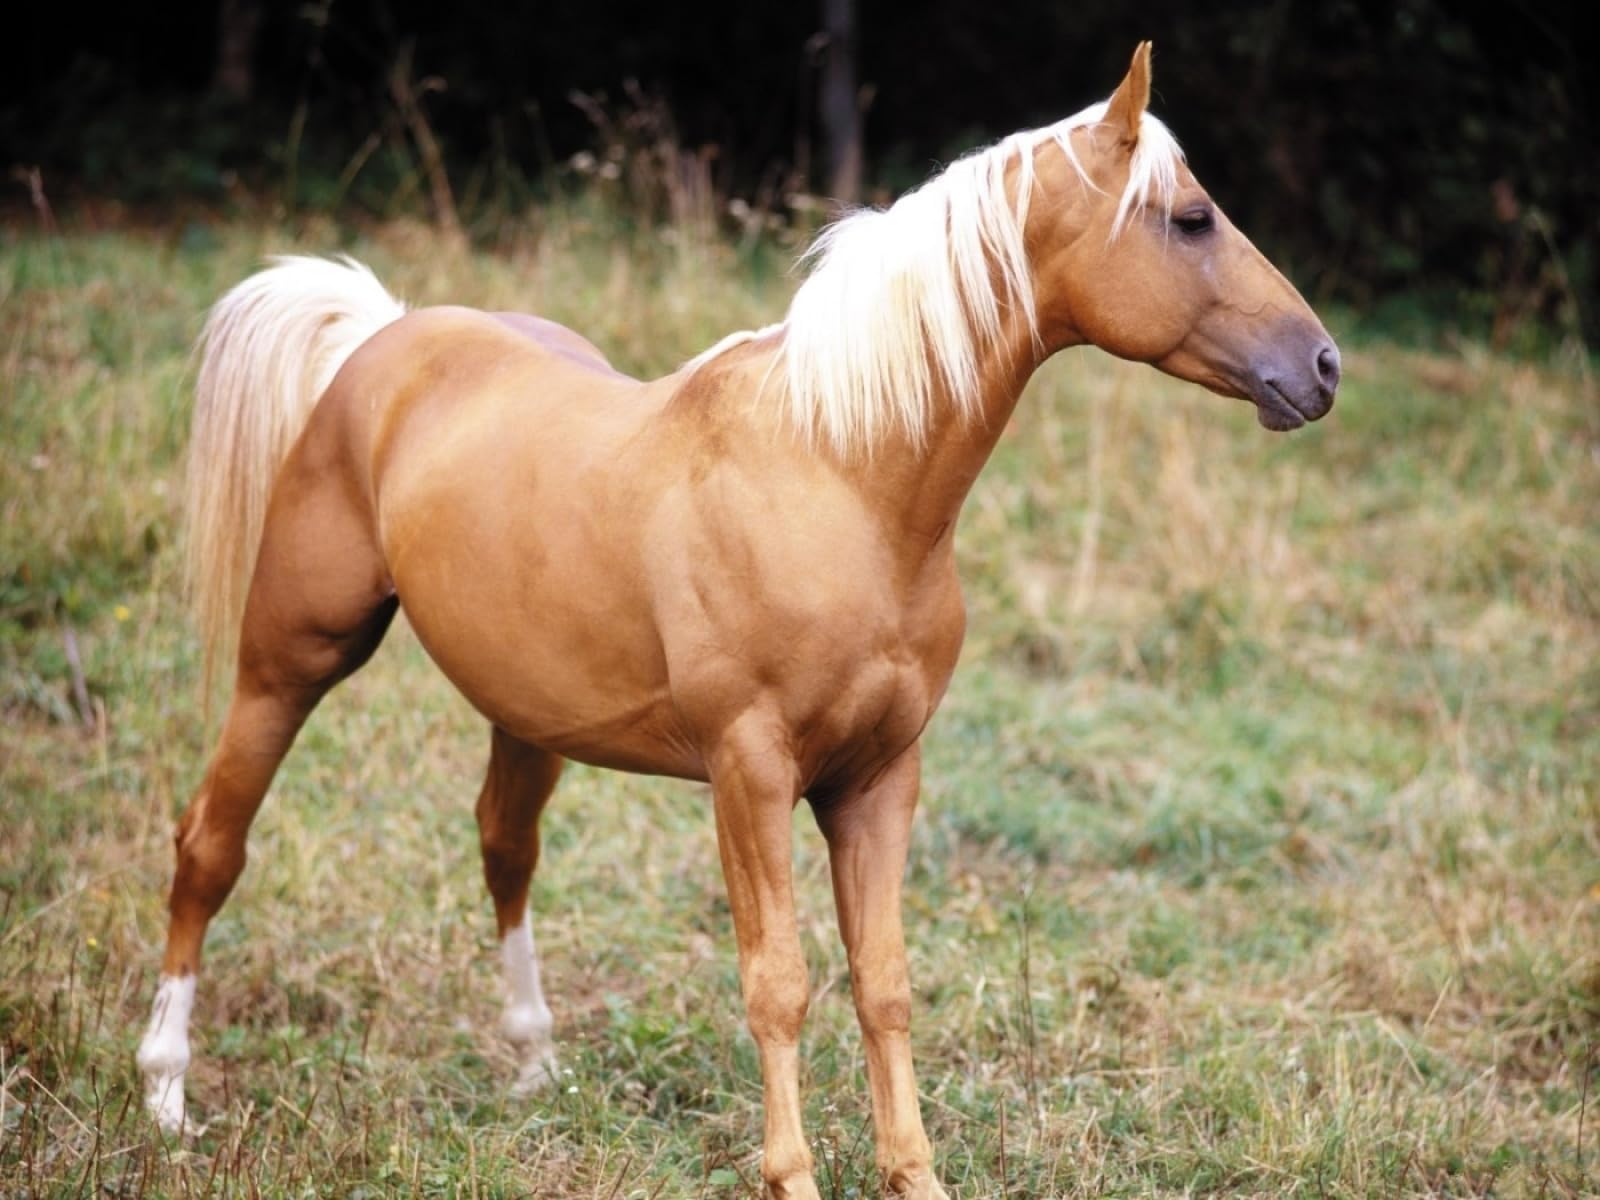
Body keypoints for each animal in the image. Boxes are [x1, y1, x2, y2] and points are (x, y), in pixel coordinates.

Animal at [137, 43, 1338, 1199]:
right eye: (1191, 217)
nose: (1322, 366)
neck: (839, 476)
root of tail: (382, 341)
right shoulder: (749, 771)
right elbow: (780, 982)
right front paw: (791, 1176)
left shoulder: (879, 777)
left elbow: (884, 983)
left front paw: (913, 1175)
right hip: (287, 664)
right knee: (211, 845)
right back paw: (165, 1093)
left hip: (525, 714)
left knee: (504, 848)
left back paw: (533, 1063)